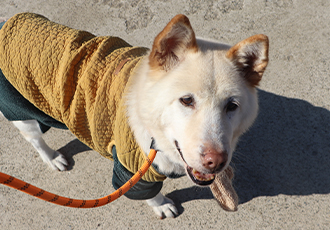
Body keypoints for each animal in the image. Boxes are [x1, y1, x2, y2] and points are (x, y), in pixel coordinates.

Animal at [0, 13, 268, 218]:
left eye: (232, 105)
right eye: (186, 100)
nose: (216, 162)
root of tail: (7, 22)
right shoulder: (132, 170)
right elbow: (150, 195)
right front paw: (162, 206)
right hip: (21, 110)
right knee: (35, 139)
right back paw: (53, 158)